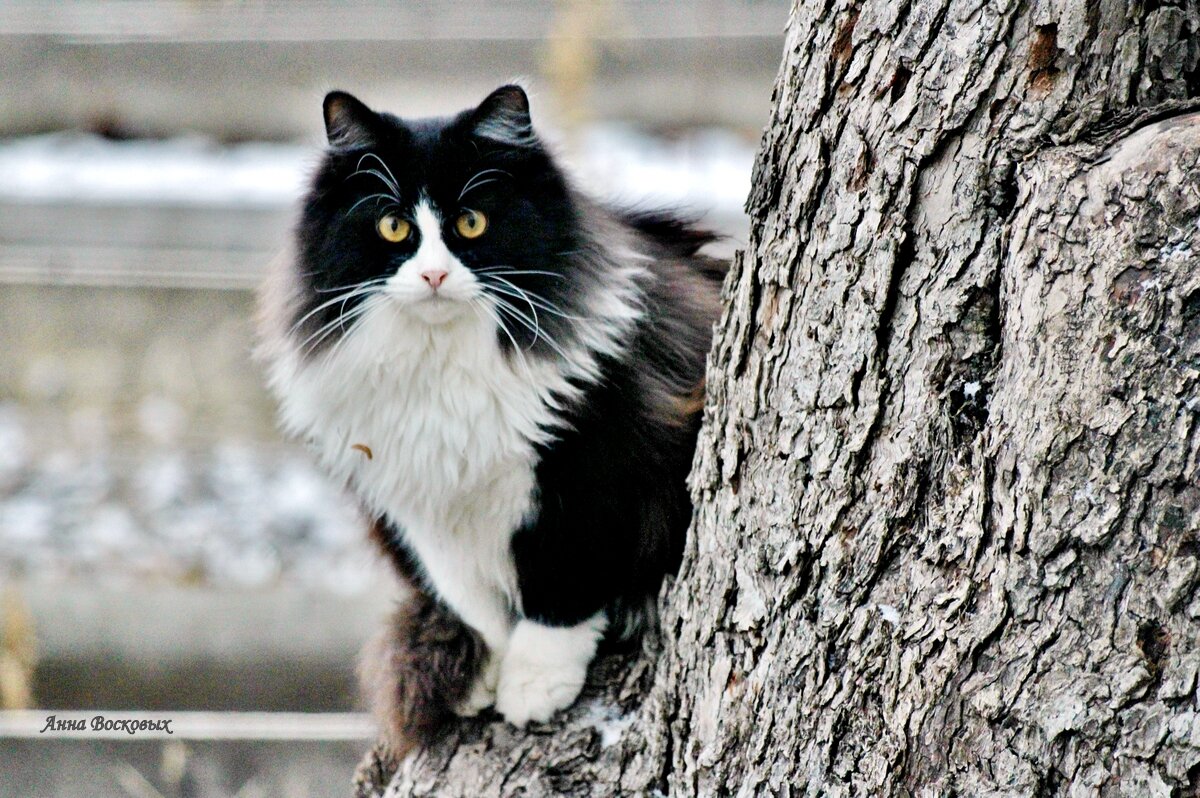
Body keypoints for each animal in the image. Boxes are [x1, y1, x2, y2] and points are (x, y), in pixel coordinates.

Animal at [259, 85, 724, 753]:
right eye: (393, 226)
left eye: (471, 222)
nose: (434, 275)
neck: (441, 365)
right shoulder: (421, 512)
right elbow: (478, 608)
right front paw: (491, 669)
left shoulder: (590, 471)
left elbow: (559, 592)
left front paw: (534, 689)